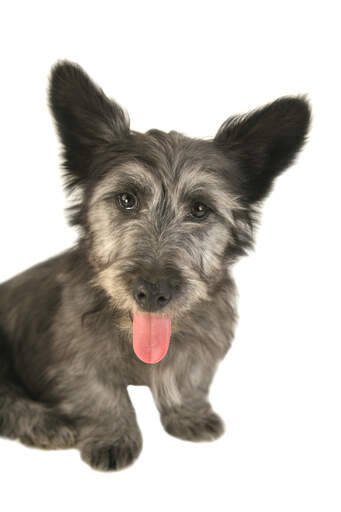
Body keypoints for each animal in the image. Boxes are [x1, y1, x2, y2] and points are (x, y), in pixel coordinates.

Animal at [0, 63, 310, 472]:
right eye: (126, 199)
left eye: (200, 209)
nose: (153, 292)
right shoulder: (75, 359)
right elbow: (101, 394)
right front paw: (113, 435)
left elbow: (187, 376)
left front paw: (188, 414)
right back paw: (44, 422)